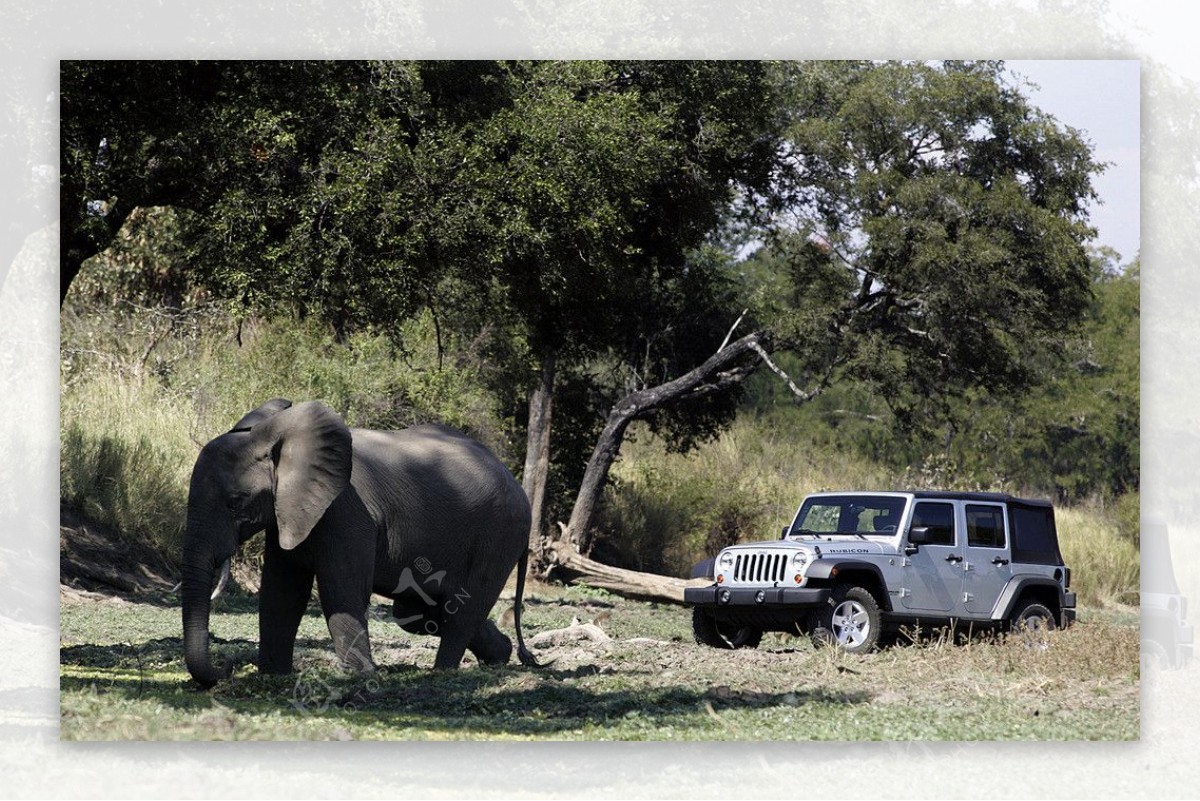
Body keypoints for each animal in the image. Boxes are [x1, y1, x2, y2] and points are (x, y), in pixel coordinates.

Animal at [182, 400, 540, 690]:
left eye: (235, 503)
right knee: (422, 611)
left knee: (464, 608)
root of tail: (516, 484)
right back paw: (500, 656)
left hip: (500, 535)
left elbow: (340, 590)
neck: (274, 437)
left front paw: (360, 677)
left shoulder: (347, 513)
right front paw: (272, 677)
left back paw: (443, 673)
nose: (227, 666)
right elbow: (281, 593)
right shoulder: (289, 509)